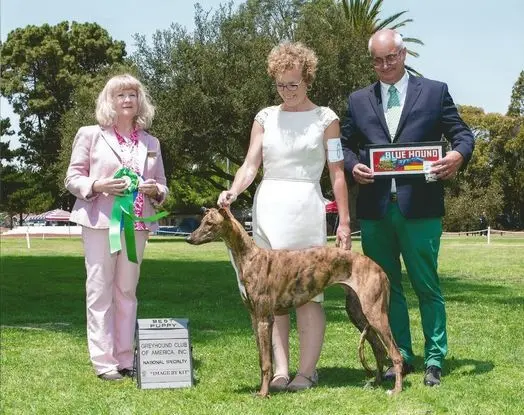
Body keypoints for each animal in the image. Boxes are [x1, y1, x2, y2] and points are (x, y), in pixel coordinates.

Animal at [186, 210, 404, 398]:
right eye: (201, 221)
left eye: (210, 223)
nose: (189, 239)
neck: (250, 257)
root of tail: (379, 269)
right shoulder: (254, 318)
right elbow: (262, 358)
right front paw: (264, 388)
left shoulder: (264, 319)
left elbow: (266, 363)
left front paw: (263, 394)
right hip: (357, 313)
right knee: (379, 349)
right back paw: (375, 383)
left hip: (375, 314)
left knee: (395, 354)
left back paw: (396, 390)